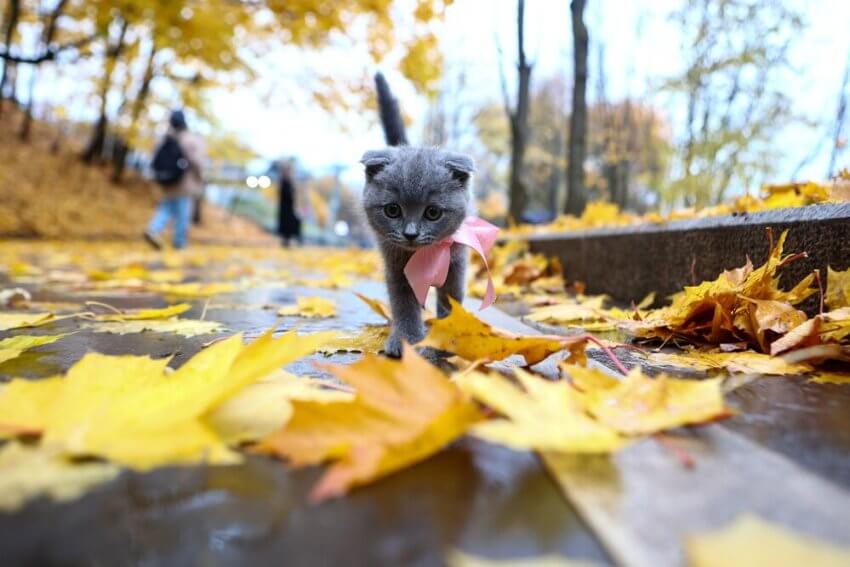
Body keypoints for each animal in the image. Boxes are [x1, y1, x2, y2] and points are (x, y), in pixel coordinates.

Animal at [360, 70, 474, 356]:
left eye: (433, 213)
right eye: (392, 210)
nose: (410, 233)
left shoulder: (456, 263)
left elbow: (451, 298)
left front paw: (449, 334)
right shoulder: (396, 268)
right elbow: (404, 305)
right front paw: (407, 339)